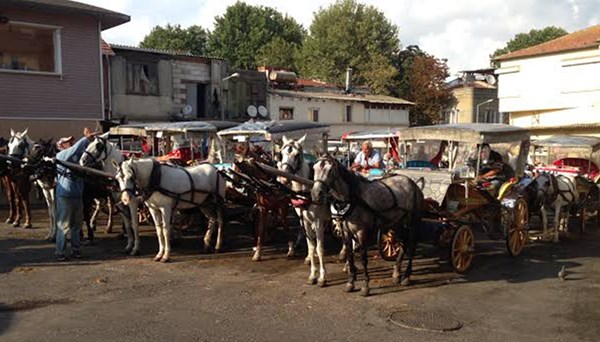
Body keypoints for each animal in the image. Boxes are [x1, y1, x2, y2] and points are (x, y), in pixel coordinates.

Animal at [278, 135, 330, 288]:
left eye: (297, 155)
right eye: (281, 154)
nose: (283, 178)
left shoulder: (318, 221)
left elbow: (319, 248)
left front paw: (322, 277)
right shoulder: (305, 221)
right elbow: (311, 247)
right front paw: (313, 274)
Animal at [312, 154, 424, 296]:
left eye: (330, 170)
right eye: (314, 168)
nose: (316, 193)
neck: (352, 198)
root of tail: (413, 183)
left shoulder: (361, 232)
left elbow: (363, 258)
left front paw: (365, 286)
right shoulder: (345, 231)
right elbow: (350, 255)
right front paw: (350, 283)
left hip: (413, 221)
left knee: (412, 245)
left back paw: (406, 276)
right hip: (397, 223)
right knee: (403, 244)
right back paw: (397, 273)